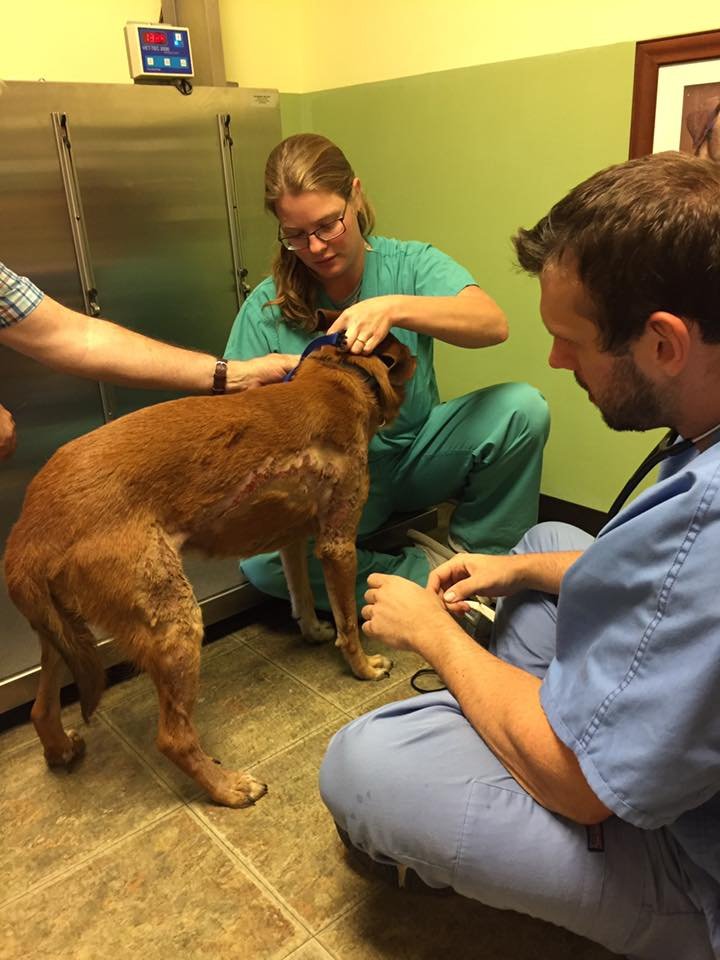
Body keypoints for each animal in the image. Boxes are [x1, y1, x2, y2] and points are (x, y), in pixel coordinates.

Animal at [2, 334, 416, 808]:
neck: (341, 374)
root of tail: (31, 526)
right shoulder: (338, 545)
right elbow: (349, 625)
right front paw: (364, 667)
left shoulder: (291, 537)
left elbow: (302, 595)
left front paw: (312, 630)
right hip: (175, 622)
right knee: (173, 739)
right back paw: (229, 787)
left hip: (61, 634)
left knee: (40, 708)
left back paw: (61, 749)